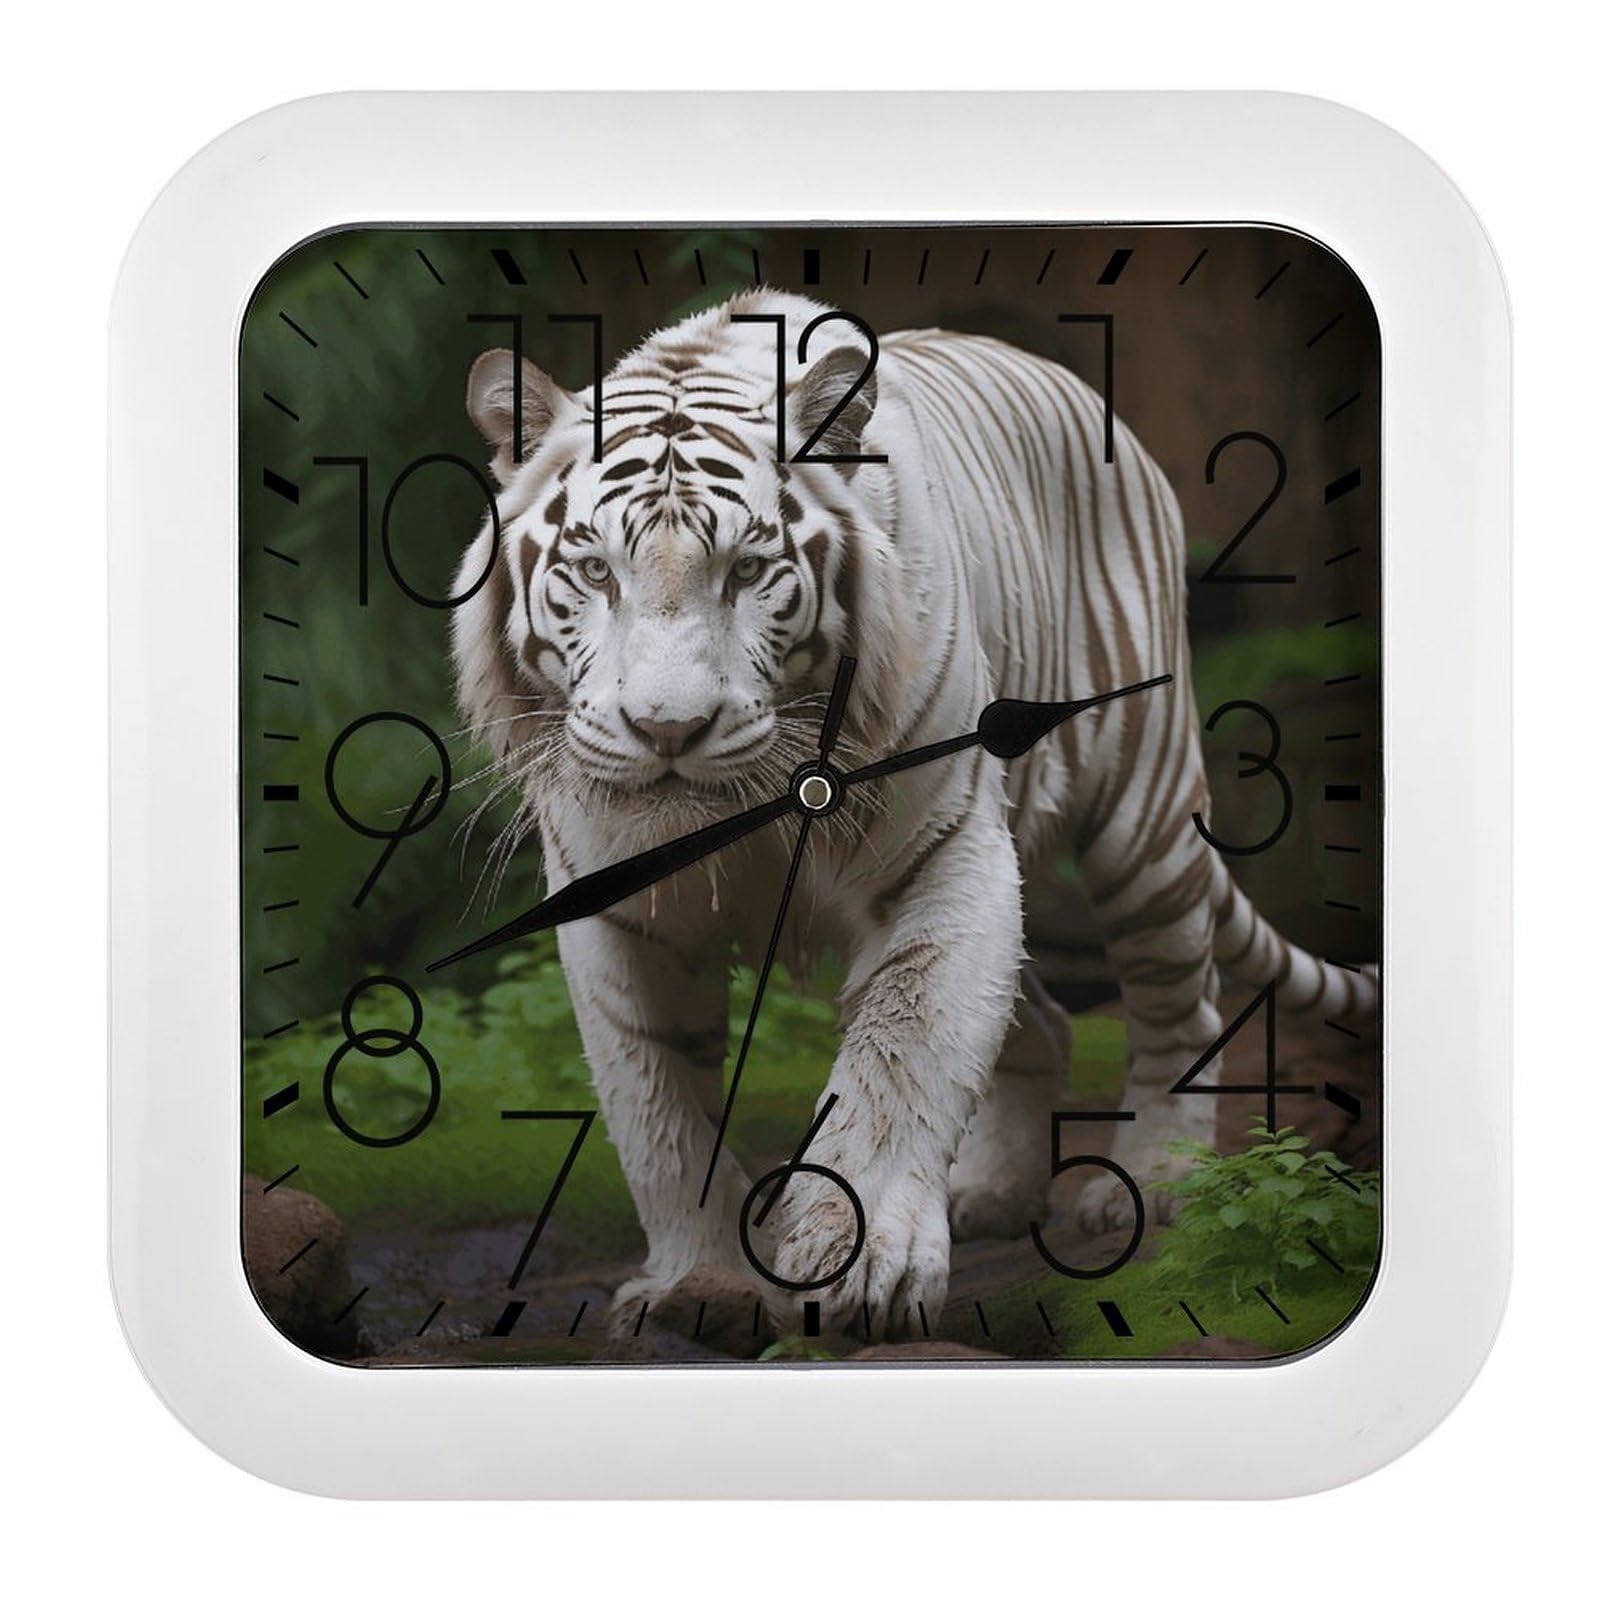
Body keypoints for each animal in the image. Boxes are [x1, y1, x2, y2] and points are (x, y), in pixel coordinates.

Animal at [449, 290, 1378, 1344]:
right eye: (597, 572)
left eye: (747, 571)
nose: (668, 728)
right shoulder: (618, 915)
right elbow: (658, 1110)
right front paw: (701, 1283)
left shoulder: (943, 853)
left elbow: (905, 1049)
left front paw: (863, 1270)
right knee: (1044, 1018)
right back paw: (992, 1192)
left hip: (1142, 814)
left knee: (1180, 1001)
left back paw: (1154, 1182)